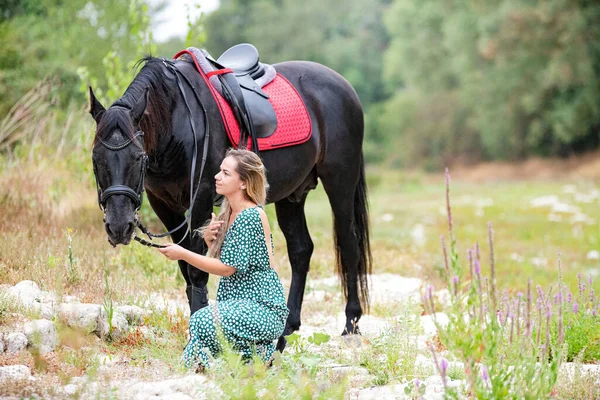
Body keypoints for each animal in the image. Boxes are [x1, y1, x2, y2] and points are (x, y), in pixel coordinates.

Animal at [89, 53, 370, 342]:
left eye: (137, 157)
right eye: (96, 158)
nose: (119, 227)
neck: (175, 117)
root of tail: (344, 86)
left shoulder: (200, 199)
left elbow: (197, 269)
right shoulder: (164, 204)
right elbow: (184, 264)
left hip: (340, 182)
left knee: (349, 244)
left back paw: (351, 323)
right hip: (292, 195)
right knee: (301, 249)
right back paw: (287, 326)